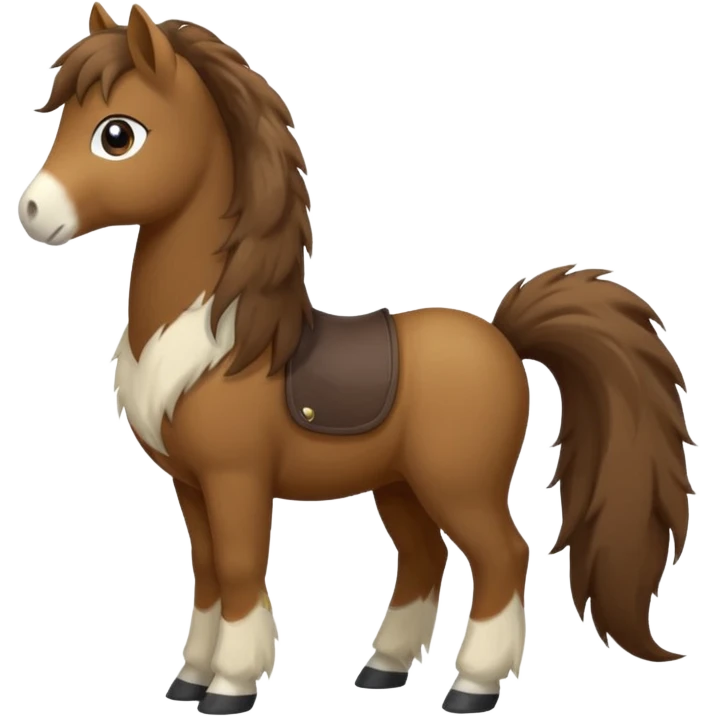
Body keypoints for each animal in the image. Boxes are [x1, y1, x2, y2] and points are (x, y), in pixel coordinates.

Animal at [17, 4, 696, 715]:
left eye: (117, 134)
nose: (32, 210)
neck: (219, 339)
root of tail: (504, 339)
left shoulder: (236, 477)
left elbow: (238, 568)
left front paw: (230, 686)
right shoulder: (191, 483)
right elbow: (205, 573)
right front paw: (189, 679)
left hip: (459, 484)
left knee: (504, 555)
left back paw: (473, 686)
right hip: (400, 485)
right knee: (424, 559)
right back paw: (384, 669)